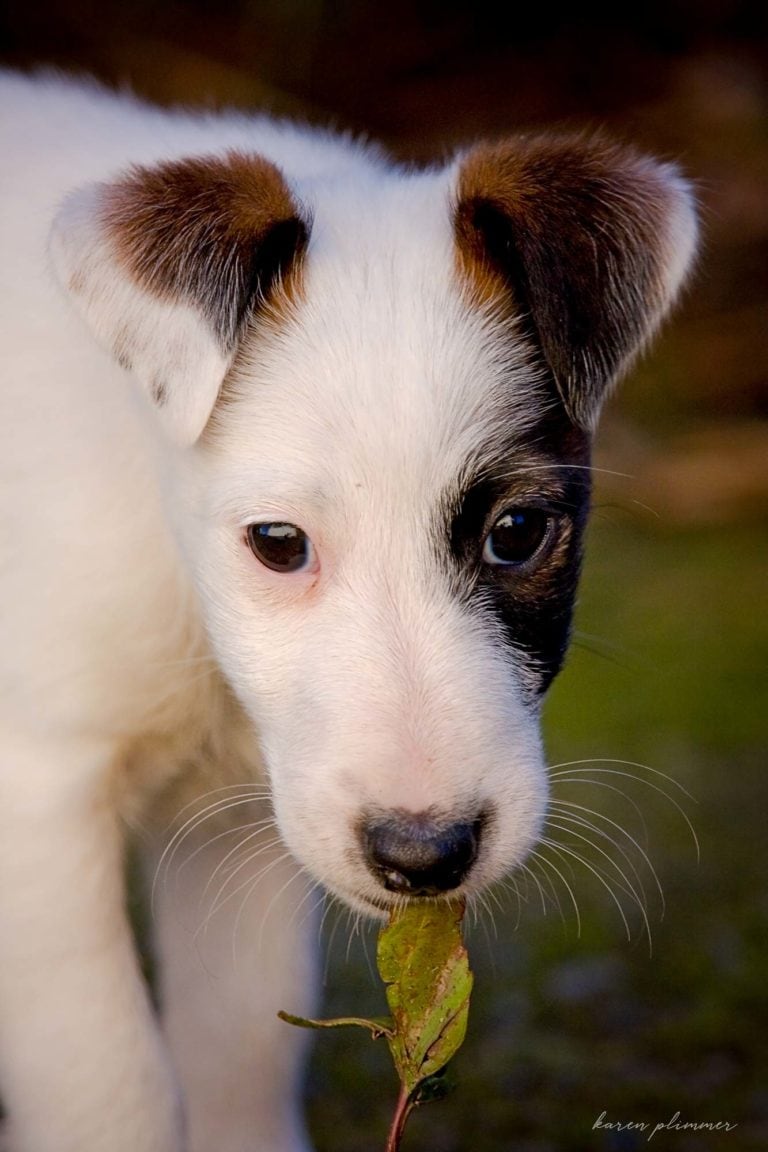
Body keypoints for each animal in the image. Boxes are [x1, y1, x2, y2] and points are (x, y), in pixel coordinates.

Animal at [0, 72, 695, 1152]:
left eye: (517, 531)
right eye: (278, 544)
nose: (424, 854)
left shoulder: (237, 827)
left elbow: (239, 1055)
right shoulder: (39, 795)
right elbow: (112, 1092)